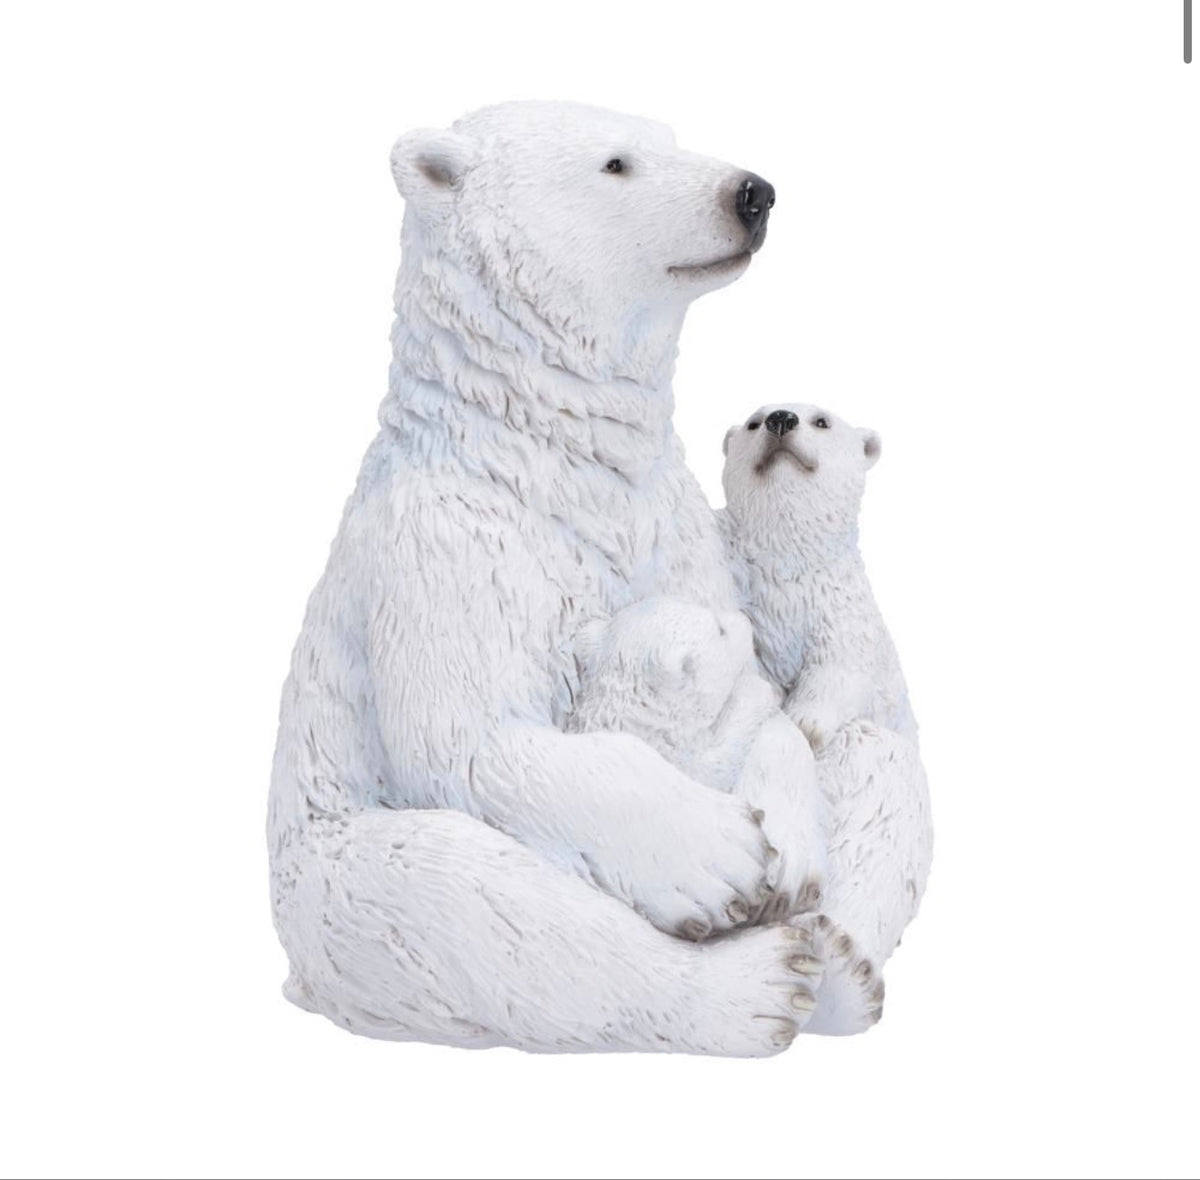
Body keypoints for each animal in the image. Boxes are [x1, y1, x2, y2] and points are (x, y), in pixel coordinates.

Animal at [268, 102, 832, 1056]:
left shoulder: (676, 533)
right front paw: (721, 858)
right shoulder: (445, 549)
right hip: (333, 884)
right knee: (477, 899)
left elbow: (757, 696)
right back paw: (755, 986)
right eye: (617, 163)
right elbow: (469, 738)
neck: (547, 453)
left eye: (674, 141)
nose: (752, 191)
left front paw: (789, 844)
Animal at [720, 402, 933, 1016]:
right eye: (751, 421)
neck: (787, 563)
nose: (780, 419)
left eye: (821, 421)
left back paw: (838, 963)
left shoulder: (841, 610)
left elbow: (838, 671)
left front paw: (803, 722)